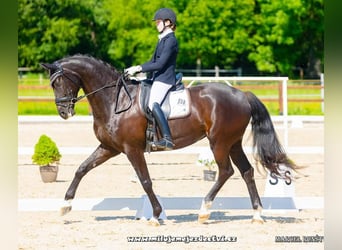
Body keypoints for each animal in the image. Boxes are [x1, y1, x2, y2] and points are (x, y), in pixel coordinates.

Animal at [41, 54, 296, 227]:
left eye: (58, 82)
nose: (63, 112)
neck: (115, 100)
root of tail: (242, 94)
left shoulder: (132, 149)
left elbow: (145, 181)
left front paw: (155, 215)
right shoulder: (109, 148)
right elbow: (82, 169)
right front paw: (65, 206)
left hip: (219, 142)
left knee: (226, 171)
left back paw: (204, 210)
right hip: (233, 143)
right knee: (246, 171)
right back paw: (257, 214)